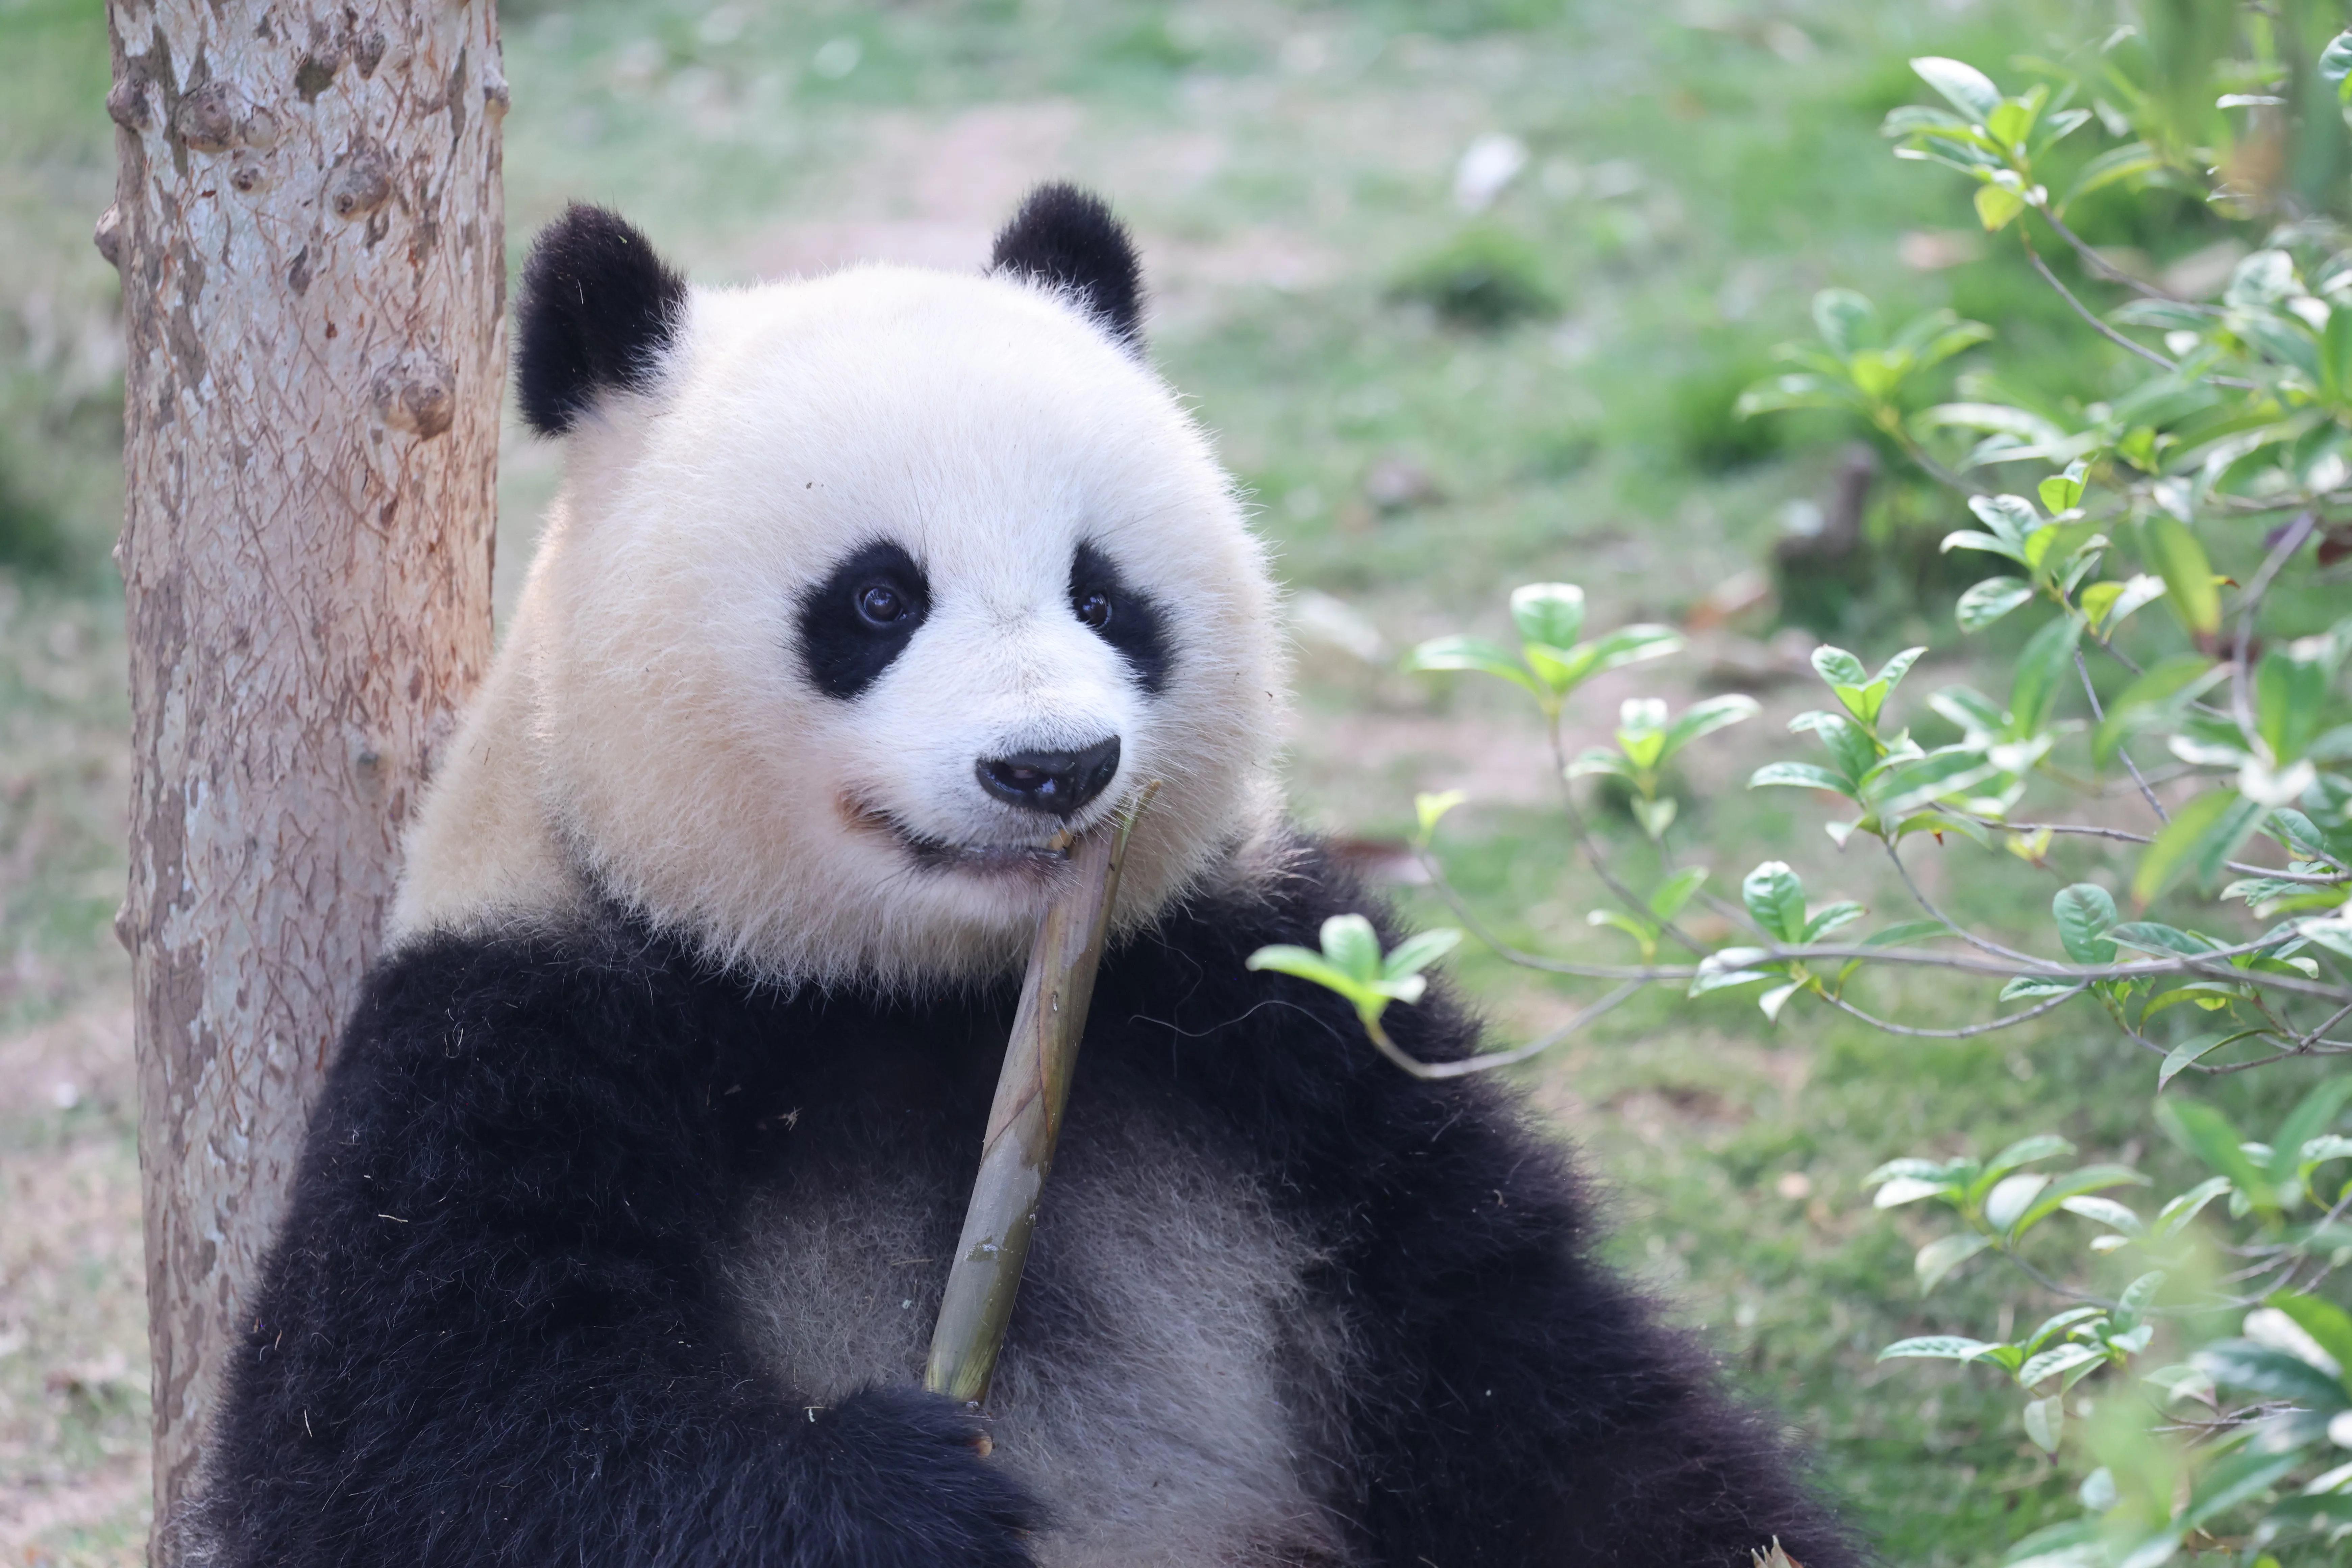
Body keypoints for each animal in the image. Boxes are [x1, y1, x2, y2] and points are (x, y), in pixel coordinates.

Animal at [196, 185, 1861, 1568]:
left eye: (1105, 593)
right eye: (878, 598)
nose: (1052, 766)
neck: (918, 991)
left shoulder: (1268, 1006)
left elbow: (1514, 1357)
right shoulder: (523, 1020)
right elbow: (412, 1436)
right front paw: (898, 1489)